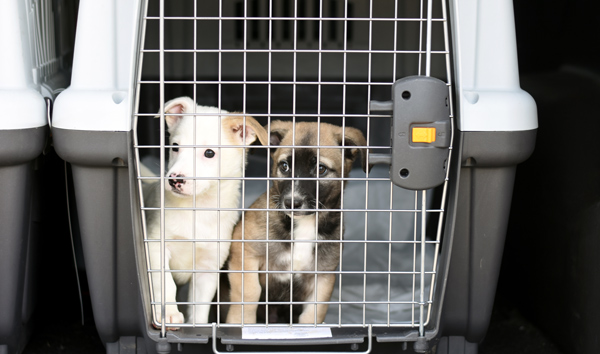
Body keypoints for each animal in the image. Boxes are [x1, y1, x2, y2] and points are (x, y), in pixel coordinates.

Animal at [143, 97, 268, 326]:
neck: (197, 208)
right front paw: (169, 313)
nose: (174, 180)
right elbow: (166, 282)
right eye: (175, 147)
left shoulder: (208, 268)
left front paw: (197, 325)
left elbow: (200, 305)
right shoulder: (156, 247)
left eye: (209, 153)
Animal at [225, 121, 368, 324]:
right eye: (284, 166)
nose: (291, 202)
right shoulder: (245, 251)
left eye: (321, 169)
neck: (304, 224)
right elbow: (249, 293)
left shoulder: (323, 275)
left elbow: (314, 313)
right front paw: (239, 322)